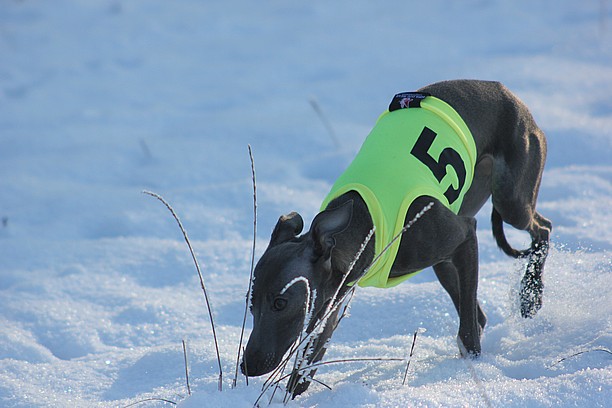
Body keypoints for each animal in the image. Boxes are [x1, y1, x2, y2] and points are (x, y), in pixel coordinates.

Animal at [241, 80, 552, 398]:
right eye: (250, 302)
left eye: (280, 303)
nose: (247, 366)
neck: (365, 222)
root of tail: (504, 91)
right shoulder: (331, 297)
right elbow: (310, 356)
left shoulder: (466, 235)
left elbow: (468, 332)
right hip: (448, 248)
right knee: (478, 309)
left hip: (510, 200)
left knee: (542, 228)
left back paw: (531, 294)